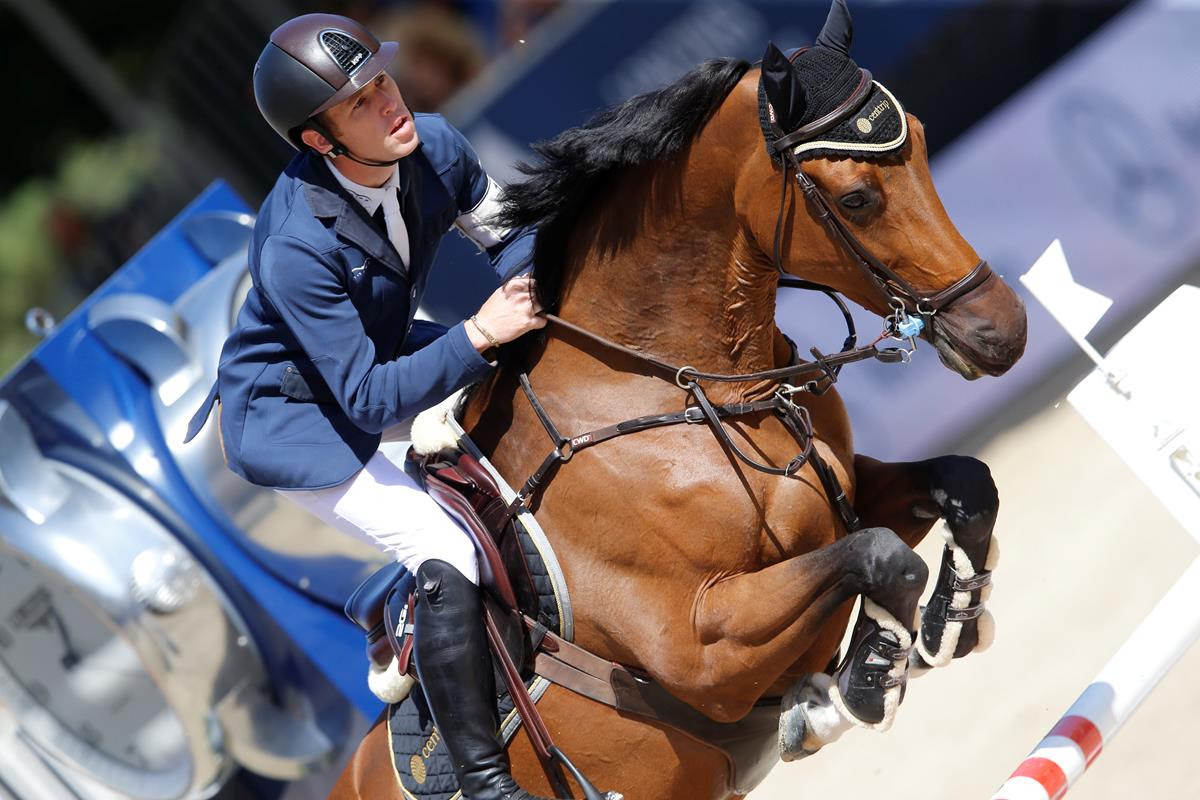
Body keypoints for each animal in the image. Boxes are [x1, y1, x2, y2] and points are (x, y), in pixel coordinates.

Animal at [331, 2, 1026, 798]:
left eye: (922, 140)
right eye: (856, 198)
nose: (1003, 331)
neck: (682, 387)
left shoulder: (849, 495)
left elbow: (962, 485)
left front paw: (953, 619)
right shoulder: (699, 647)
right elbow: (881, 558)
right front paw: (854, 687)